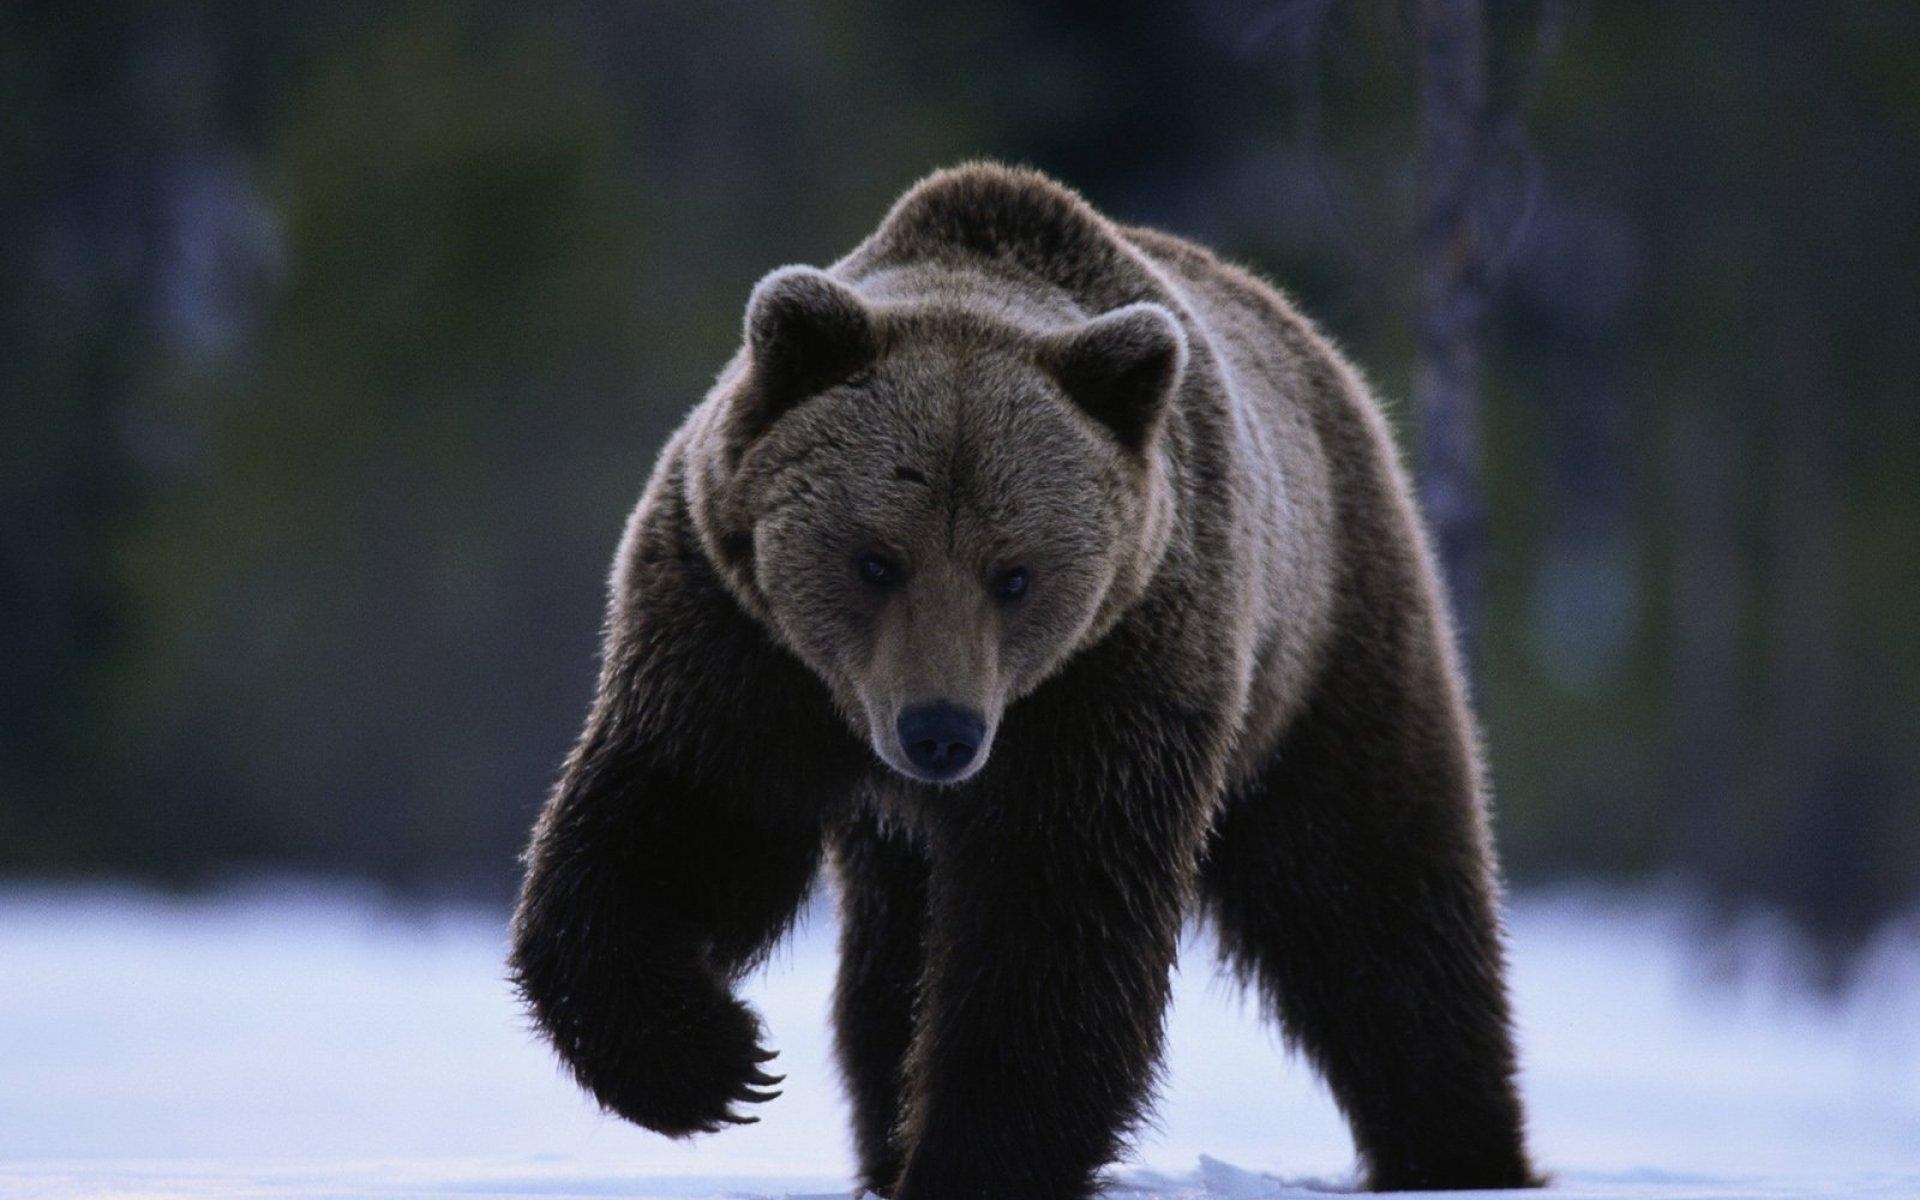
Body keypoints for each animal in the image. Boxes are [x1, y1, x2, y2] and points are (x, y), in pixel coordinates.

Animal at [509, 163, 1537, 1198]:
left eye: (1015, 573)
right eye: (876, 559)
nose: (940, 731)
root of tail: (1322, 353)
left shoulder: (1115, 676)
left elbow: (1052, 927)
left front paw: (974, 1157)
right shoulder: (735, 640)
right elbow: (682, 820)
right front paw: (710, 1062)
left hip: (1328, 641)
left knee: (1373, 899)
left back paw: (1464, 1147)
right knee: (890, 963)